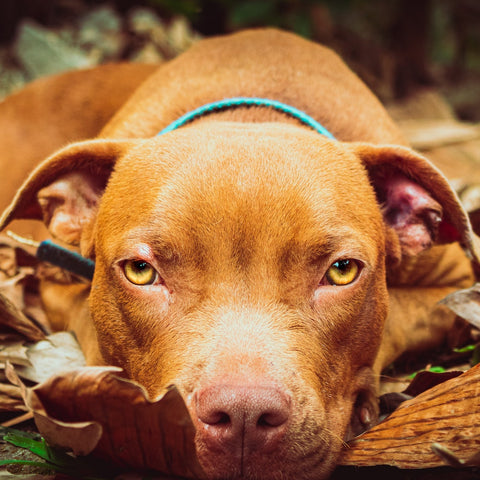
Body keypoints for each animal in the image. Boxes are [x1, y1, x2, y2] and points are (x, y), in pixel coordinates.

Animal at [0, 29, 478, 476]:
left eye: (342, 271)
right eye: (140, 271)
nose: (244, 414)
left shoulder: (452, 285)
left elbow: (392, 322)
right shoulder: (55, 282)